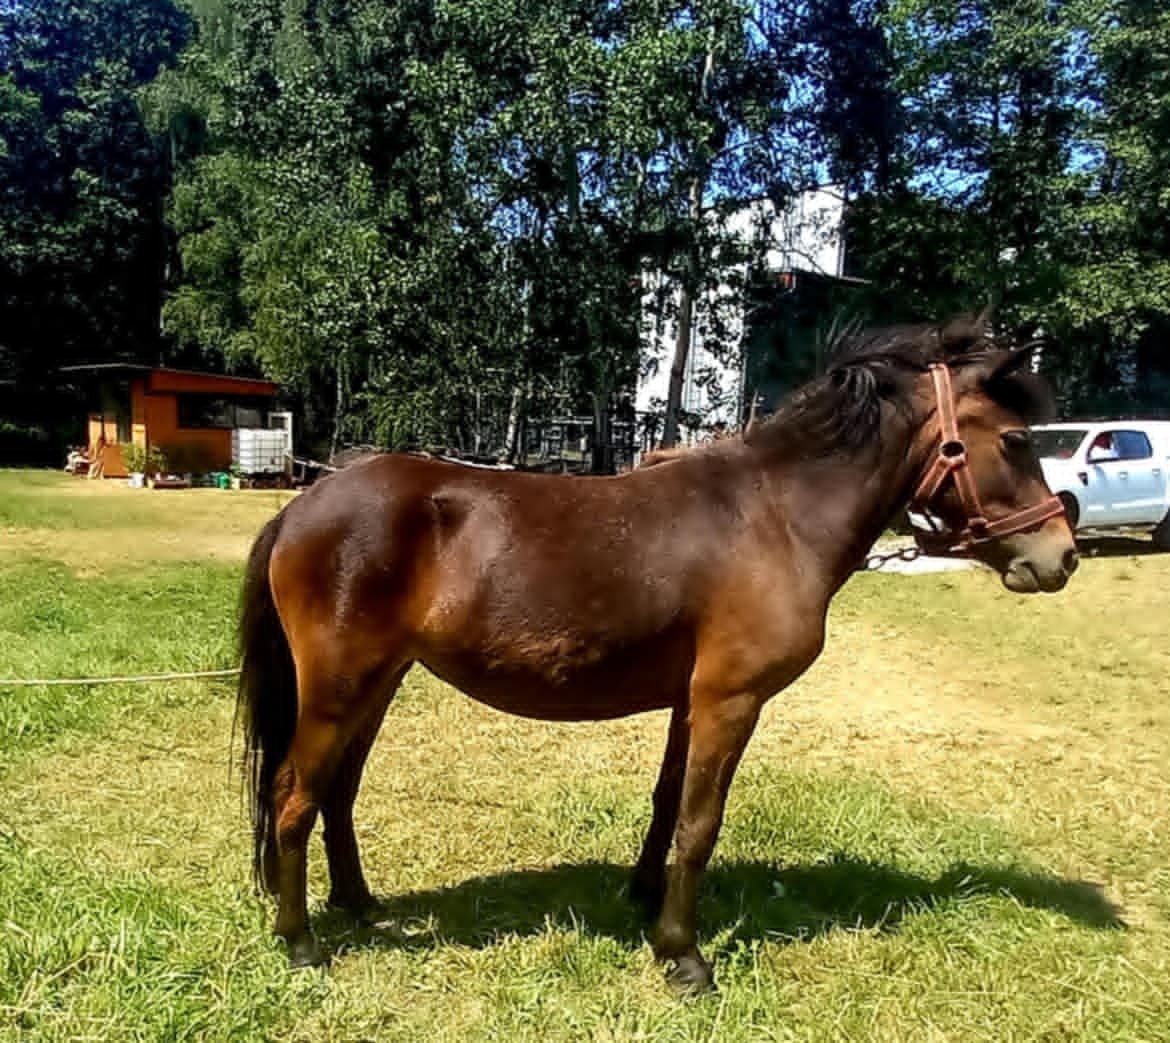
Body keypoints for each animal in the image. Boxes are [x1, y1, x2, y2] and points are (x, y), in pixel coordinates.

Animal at [236, 316, 1077, 991]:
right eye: (1015, 440)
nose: (1061, 555)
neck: (777, 515)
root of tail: (302, 504)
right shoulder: (730, 700)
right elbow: (701, 824)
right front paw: (683, 956)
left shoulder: (689, 699)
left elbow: (669, 803)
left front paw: (644, 899)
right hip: (340, 686)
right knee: (293, 795)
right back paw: (301, 941)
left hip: (379, 682)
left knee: (337, 793)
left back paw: (359, 905)